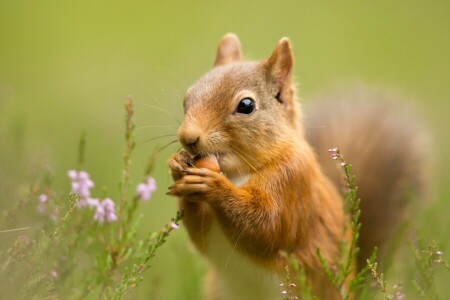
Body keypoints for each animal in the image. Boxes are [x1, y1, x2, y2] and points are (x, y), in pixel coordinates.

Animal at [168, 33, 426, 300]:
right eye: (187, 98)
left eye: (246, 105)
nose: (188, 137)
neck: (238, 173)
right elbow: (201, 236)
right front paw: (178, 166)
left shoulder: (292, 181)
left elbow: (267, 226)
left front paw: (213, 185)